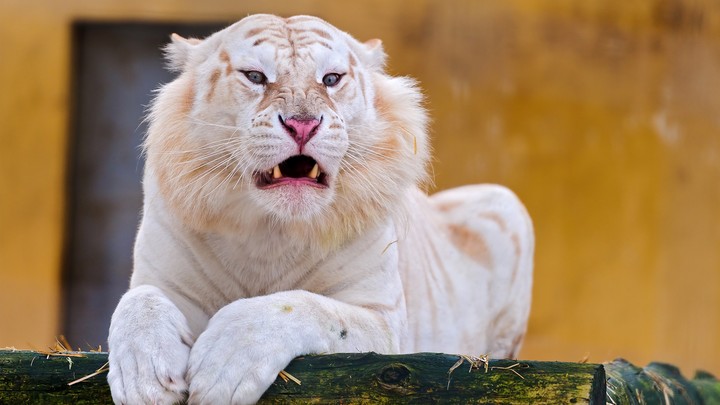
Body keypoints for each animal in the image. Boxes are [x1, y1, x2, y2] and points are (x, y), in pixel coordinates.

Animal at [107, 14, 534, 405]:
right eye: (255, 76)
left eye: (331, 79)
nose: (302, 125)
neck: (270, 230)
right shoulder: (164, 279)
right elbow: (138, 301)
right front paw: (143, 380)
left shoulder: (385, 322)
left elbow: (306, 307)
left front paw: (222, 367)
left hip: (505, 203)